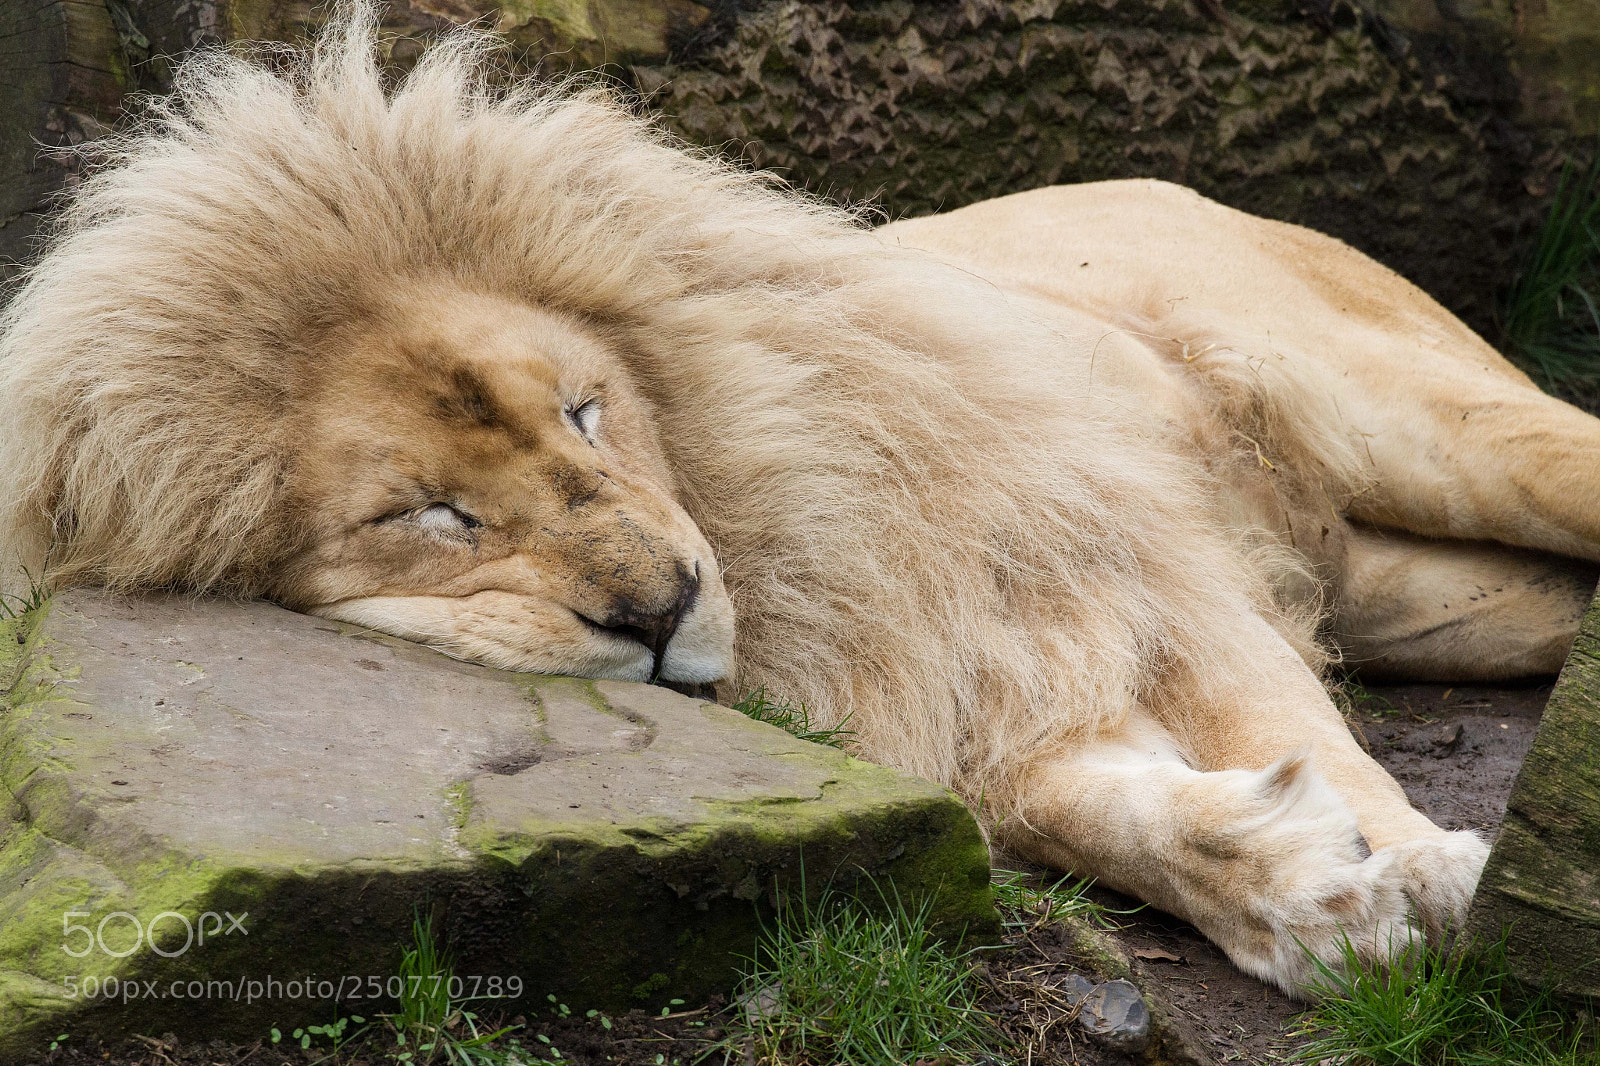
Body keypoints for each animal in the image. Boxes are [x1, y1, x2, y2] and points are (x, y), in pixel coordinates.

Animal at [1, 3, 1596, 995]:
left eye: (585, 406)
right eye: (429, 515)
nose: (664, 611)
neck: (762, 517)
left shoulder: (1129, 574)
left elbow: (1292, 728)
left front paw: (1419, 872)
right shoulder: (976, 702)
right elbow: (1113, 812)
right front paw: (1301, 893)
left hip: (1449, 433)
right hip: (1443, 599)